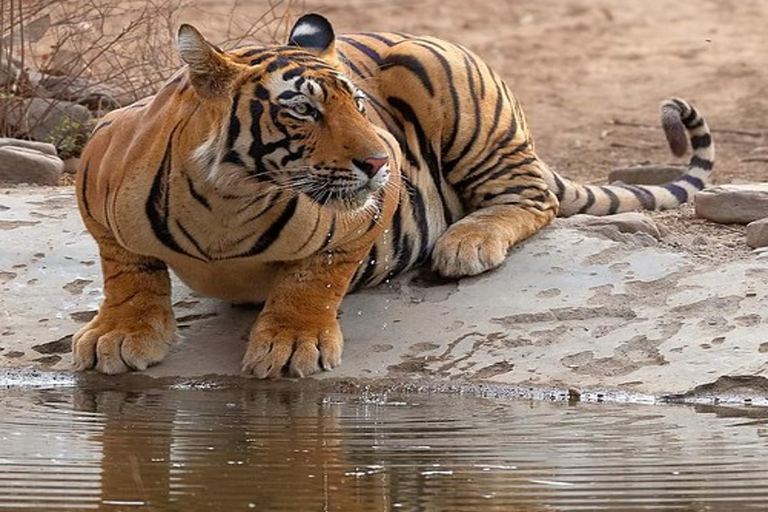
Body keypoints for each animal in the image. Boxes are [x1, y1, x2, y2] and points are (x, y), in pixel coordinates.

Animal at [72, 13, 712, 376]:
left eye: (357, 104)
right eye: (301, 110)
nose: (380, 162)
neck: (227, 201)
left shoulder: (360, 222)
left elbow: (315, 276)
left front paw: (291, 344)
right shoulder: (96, 176)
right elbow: (126, 269)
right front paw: (119, 334)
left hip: (446, 86)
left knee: (533, 197)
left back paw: (465, 245)